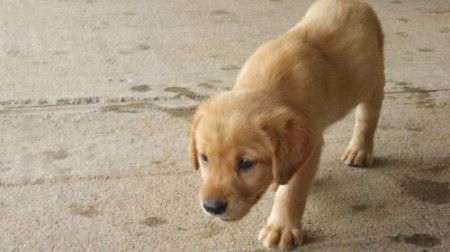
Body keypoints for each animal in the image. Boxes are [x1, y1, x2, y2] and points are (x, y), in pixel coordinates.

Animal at [189, 0, 384, 248]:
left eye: (246, 163)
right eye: (204, 158)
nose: (212, 207)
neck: (267, 87)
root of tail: (353, 2)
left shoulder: (312, 143)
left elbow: (292, 190)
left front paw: (281, 228)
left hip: (374, 78)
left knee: (367, 116)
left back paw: (359, 150)